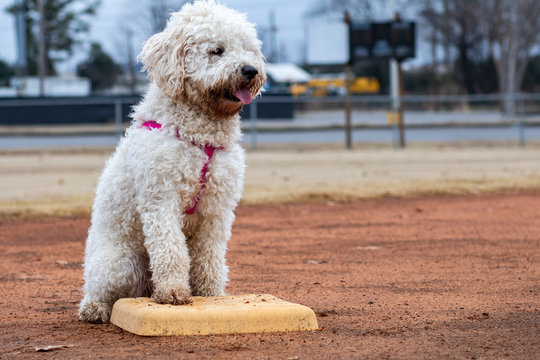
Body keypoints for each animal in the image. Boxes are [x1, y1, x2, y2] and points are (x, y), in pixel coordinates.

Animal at [78, 0, 266, 324]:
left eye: (249, 49)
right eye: (217, 50)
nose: (251, 70)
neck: (200, 137)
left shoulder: (216, 209)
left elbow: (209, 256)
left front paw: (210, 294)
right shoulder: (160, 199)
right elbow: (170, 249)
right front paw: (174, 292)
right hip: (121, 262)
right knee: (99, 291)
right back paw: (96, 308)